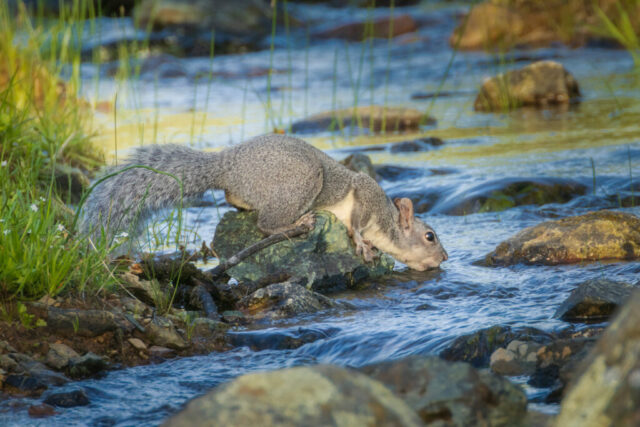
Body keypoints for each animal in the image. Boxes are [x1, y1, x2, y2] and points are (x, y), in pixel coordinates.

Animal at [81, 134, 448, 271]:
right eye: (430, 236)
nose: (445, 257)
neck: (386, 221)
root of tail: (227, 165)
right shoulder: (365, 195)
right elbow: (357, 224)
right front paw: (361, 243)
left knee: (235, 199)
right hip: (302, 179)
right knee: (265, 224)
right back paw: (295, 223)